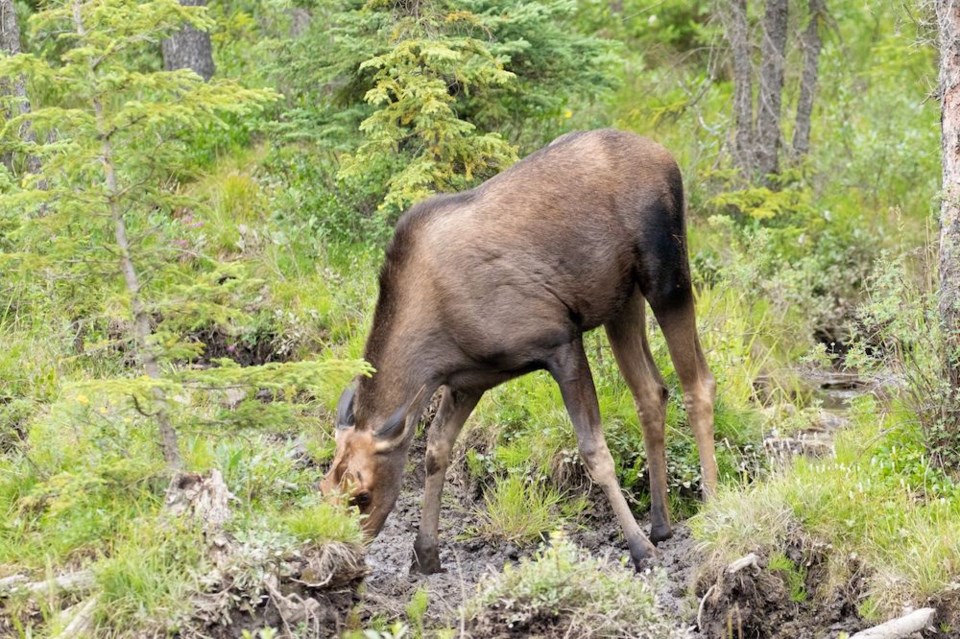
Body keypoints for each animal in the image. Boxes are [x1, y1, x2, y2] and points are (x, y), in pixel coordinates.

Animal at [322, 127, 720, 572]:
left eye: (362, 495)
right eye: (323, 489)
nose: (339, 556)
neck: (433, 347)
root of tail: (666, 154)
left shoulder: (561, 343)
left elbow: (594, 451)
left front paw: (639, 549)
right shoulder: (468, 380)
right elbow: (436, 449)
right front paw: (426, 552)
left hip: (667, 273)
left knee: (698, 383)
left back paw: (712, 507)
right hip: (621, 301)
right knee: (651, 391)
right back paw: (660, 523)